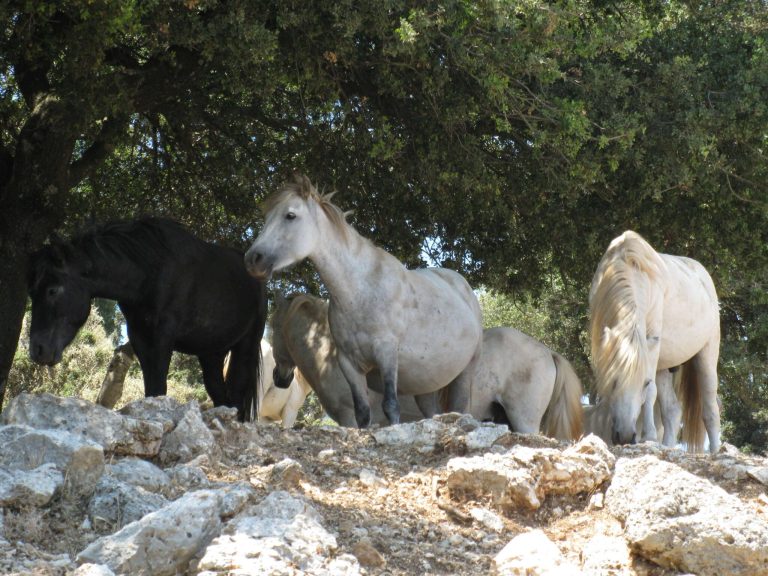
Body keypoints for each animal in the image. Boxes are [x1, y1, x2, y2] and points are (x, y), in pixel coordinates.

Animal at [27, 216, 268, 418]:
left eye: (52, 290)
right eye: (32, 293)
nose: (37, 350)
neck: (150, 270)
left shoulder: (162, 337)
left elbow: (158, 387)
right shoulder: (140, 337)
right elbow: (151, 387)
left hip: (246, 345)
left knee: (236, 394)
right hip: (211, 353)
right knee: (220, 395)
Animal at [588, 232, 720, 452]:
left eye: (644, 383)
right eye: (613, 381)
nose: (626, 435)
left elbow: (651, 393)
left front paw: (648, 436)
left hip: (706, 357)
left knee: (711, 411)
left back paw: (717, 451)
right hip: (663, 365)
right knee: (672, 411)